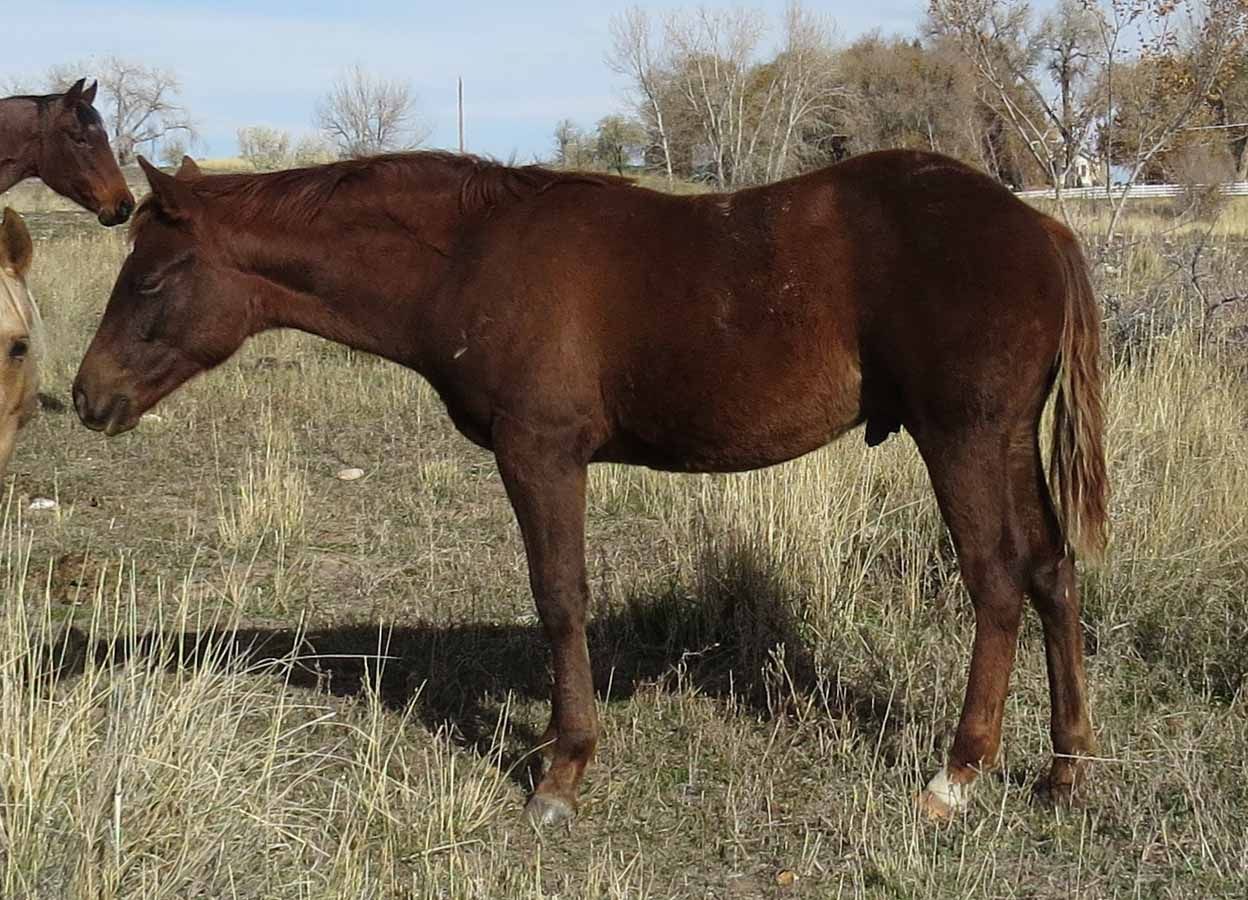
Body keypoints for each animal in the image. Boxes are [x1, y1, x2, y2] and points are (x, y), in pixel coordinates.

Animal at [72, 149, 1108, 826]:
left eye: (152, 280)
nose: (86, 396)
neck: (471, 254)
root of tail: (1040, 223)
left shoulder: (540, 455)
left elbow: (560, 598)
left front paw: (560, 774)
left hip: (962, 438)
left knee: (997, 582)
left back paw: (957, 775)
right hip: (1005, 441)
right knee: (1052, 572)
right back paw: (1063, 772)